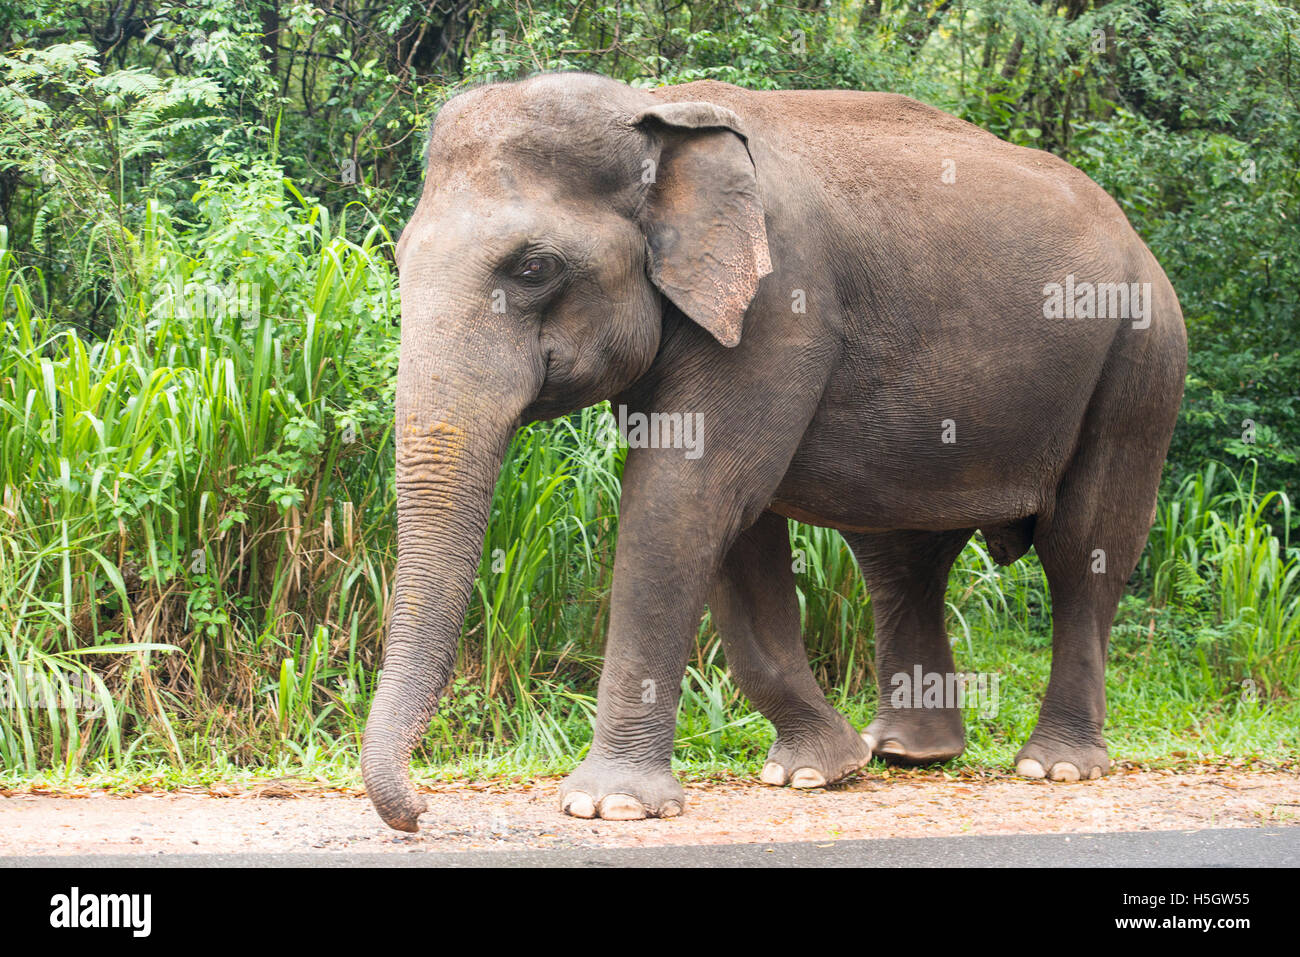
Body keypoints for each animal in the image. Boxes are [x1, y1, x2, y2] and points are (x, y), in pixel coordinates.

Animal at [361, 71, 1187, 832]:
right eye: (398, 262)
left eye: (534, 268)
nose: (422, 812)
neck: (657, 106)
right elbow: (733, 524)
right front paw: (820, 770)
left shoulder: (780, 307)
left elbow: (687, 500)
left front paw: (608, 805)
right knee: (899, 557)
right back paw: (906, 752)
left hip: (1140, 359)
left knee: (1084, 548)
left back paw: (1056, 766)